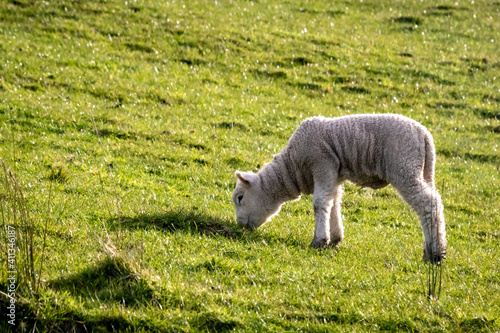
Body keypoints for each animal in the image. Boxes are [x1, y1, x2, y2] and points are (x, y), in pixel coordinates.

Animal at [232, 113, 448, 264]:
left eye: (240, 198)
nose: (240, 225)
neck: (293, 165)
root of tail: (424, 135)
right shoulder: (333, 174)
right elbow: (333, 203)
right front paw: (334, 239)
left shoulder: (322, 164)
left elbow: (319, 203)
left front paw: (319, 241)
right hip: (423, 171)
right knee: (431, 203)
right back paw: (429, 251)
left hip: (404, 168)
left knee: (428, 204)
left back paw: (437, 254)